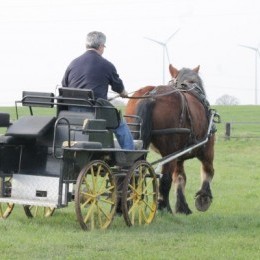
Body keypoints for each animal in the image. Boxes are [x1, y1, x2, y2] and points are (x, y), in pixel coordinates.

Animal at [125, 64, 216, 214]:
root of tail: (151, 95)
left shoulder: (179, 157)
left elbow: (180, 178)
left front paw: (182, 206)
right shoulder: (207, 149)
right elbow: (208, 171)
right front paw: (203, 197)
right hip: (171, 151)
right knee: (165, 178)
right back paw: (164, 208)